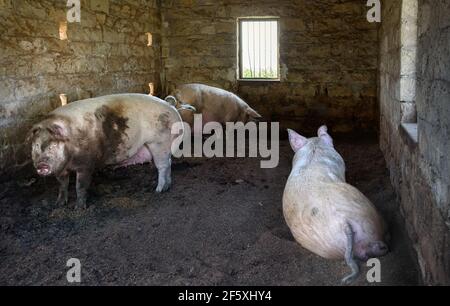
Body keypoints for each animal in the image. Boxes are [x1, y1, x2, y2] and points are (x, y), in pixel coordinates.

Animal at [27, 93, 182, 209]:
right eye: (35, 146)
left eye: (53, 146)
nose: (41, 165)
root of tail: (170, 106)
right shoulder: (60, 169)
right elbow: (62, 185)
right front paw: (59, 204)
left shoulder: (86, 163)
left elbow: (80, 186)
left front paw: (79, 208)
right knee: (169, 164)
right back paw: (167, 187)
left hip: (158, 143)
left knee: (162, 166)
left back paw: (158, 190)